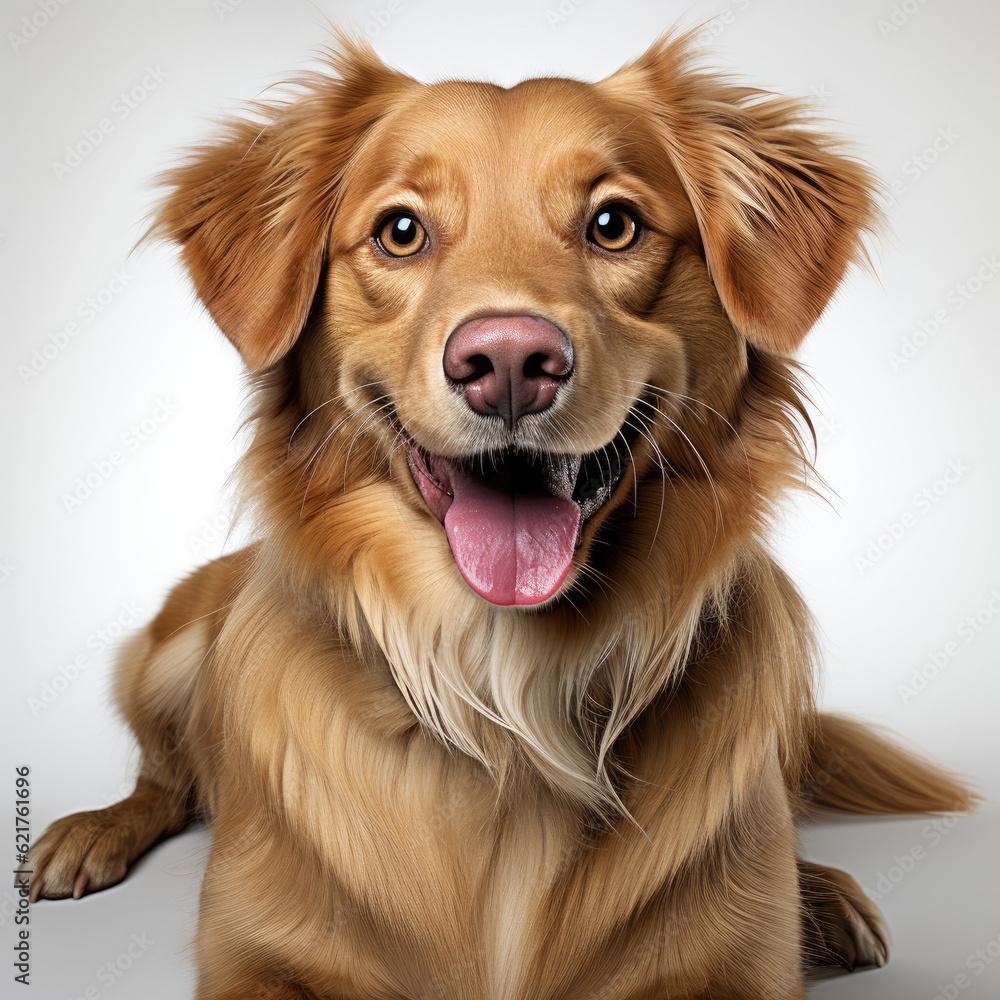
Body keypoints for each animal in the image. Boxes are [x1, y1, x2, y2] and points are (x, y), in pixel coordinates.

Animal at [31, 31, 976, 1000]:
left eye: (613, 224)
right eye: (400, 231)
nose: (512, 362)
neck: (506, 694)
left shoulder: (735, 969)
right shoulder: (255, 958)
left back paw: (822, 898)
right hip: (167, 650)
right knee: (165, 777)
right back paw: (91, 832)